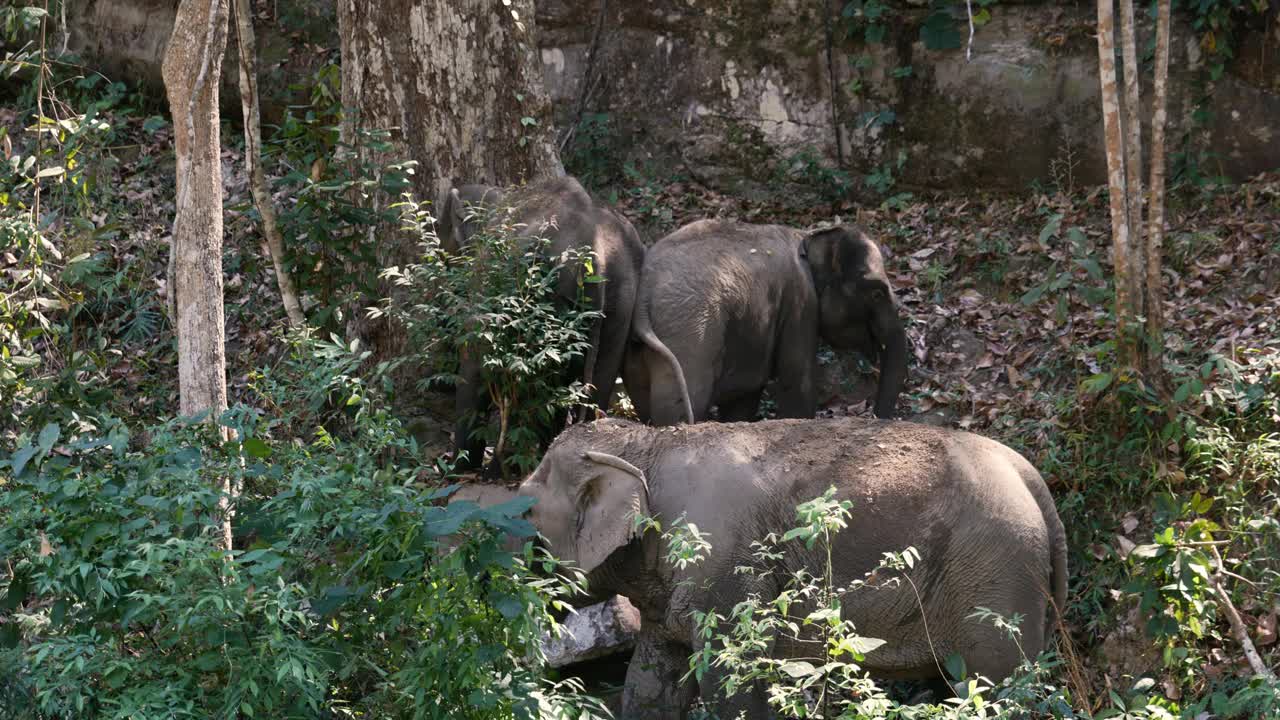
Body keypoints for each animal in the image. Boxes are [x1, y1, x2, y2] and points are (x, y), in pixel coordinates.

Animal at [519, 415, 1070, 717]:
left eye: (524, 518)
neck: (650, 443)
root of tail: (1031, 477)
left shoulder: (724, 569)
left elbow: (734, 682)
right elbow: (653, 686)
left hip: (996, 574)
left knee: (998, 685)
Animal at [622, 217, 906, 420]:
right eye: (878, 293)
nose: (874, 417)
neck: (807, 236)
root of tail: (644, 291)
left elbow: (744, 394)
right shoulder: (800, 302)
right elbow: (797, 378)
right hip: (690, 336)